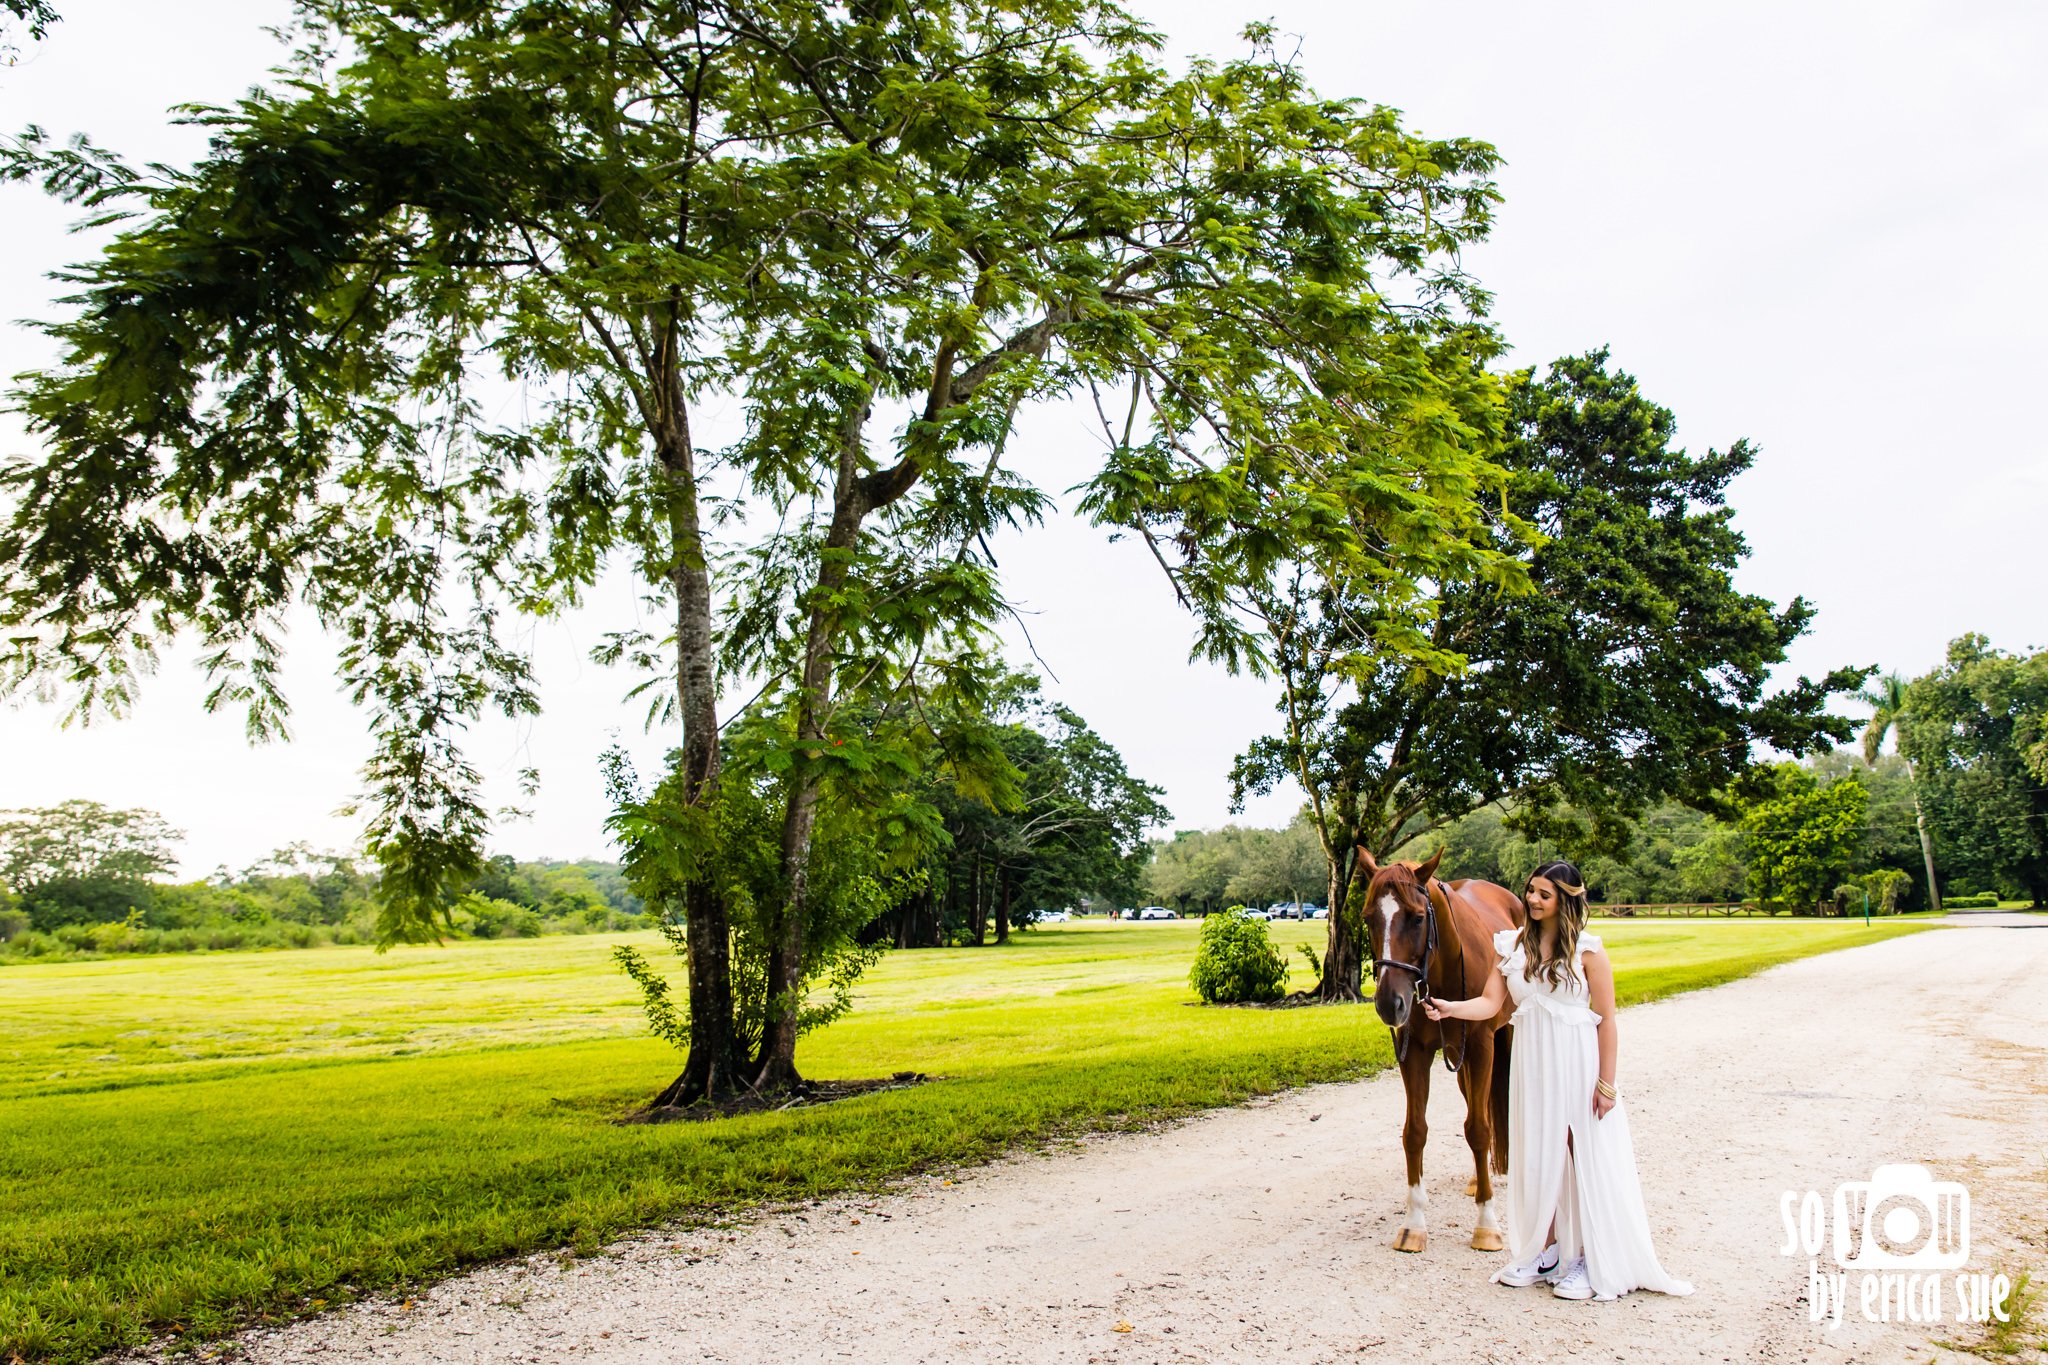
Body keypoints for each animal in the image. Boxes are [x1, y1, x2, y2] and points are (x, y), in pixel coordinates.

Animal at [1359, 847, 1523, 1252]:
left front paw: (1487, 1224)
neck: (1440, 969)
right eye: (1369, 918)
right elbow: (1415, 1131)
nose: (1389, 1003)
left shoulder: (1480, 1047)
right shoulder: (1416, 1051)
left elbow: (1478, 1129)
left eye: (1417, 918)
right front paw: (1413, 1224)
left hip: (1504, 1038)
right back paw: (1477, 1178)